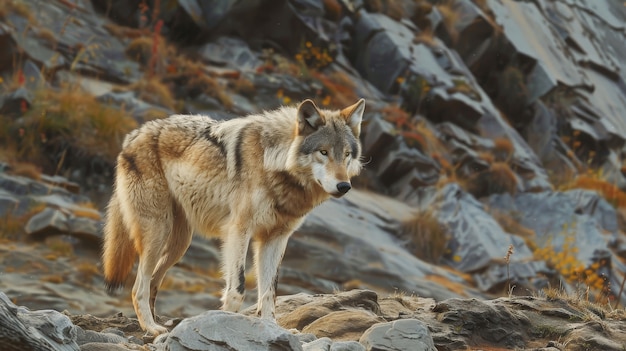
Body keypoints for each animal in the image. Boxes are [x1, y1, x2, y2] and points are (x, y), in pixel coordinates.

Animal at [101, 98, 366, 336]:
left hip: (179, 245)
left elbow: (269, 291)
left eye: (346, 154)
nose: (344, 186)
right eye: (323, 152)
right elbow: (237, 286)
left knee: (154, 282)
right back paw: (151, 327)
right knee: (139, 287)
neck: (273, 162)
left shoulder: (275, 239)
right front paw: (224, 322)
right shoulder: (239, 230)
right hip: (157, 233)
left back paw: (159, 325)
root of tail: (133, 135)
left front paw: (270, 327)